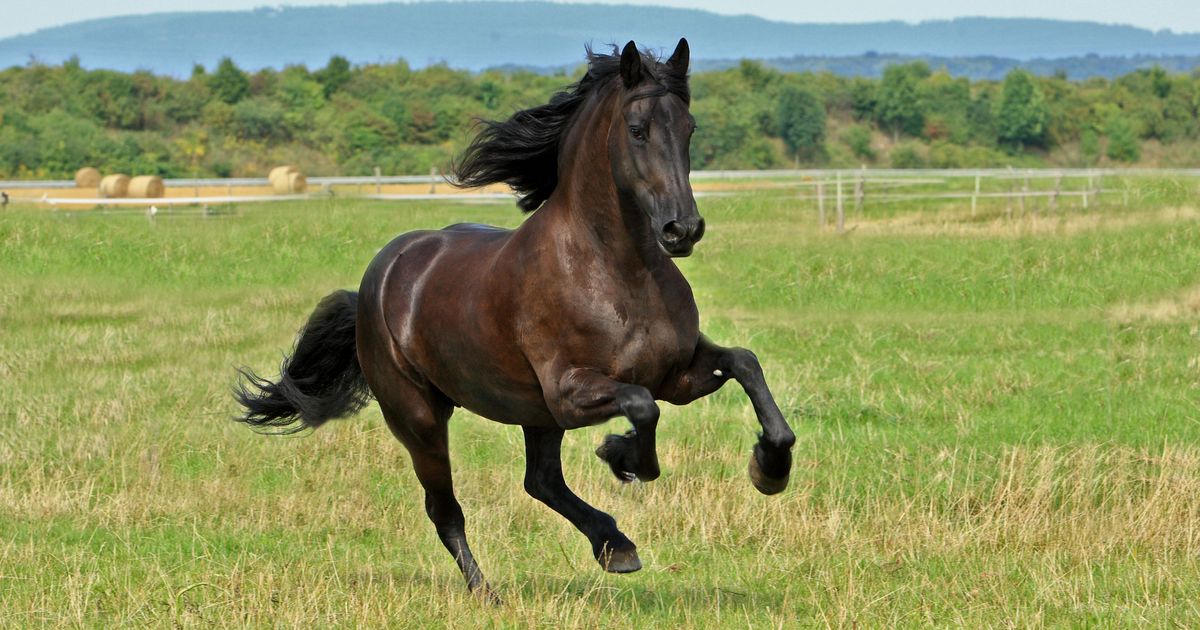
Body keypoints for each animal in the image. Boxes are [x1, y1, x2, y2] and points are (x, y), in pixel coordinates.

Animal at [234, 36, 796, 597]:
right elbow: (642, 406)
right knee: (446, 509)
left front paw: (770, 467)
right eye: (637, 130)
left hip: (533, 415)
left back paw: (614, 546)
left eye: (689, 128)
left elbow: (745, 364)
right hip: (421, 419)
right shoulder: (570, 392)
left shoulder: (676, 375)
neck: (617, 271)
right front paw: (620, 455)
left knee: (540, 481)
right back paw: (488, 592)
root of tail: (376, 281)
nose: (683, 229)